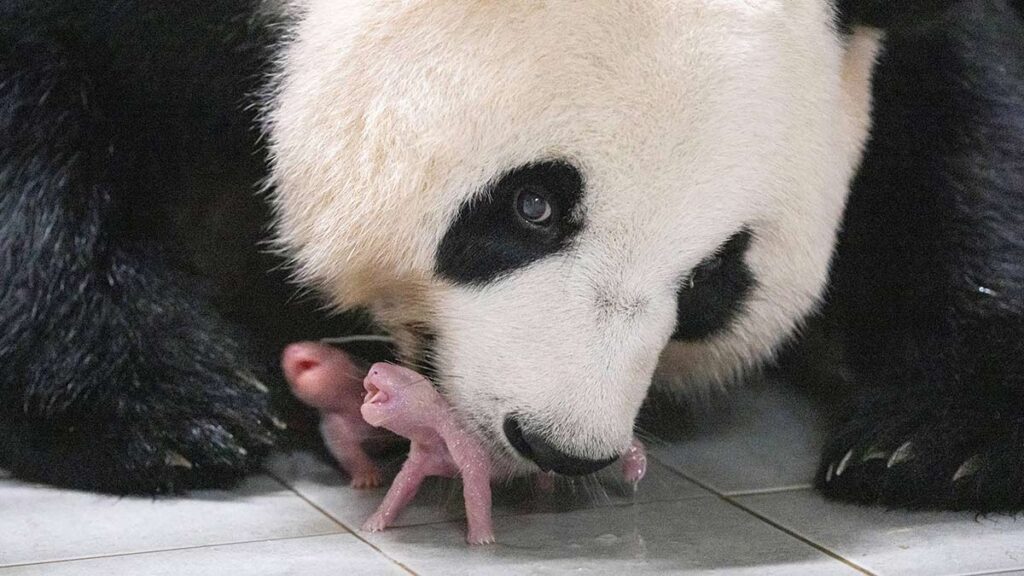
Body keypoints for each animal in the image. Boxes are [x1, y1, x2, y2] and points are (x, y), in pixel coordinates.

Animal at [2, 0, 1022, 513]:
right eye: (534, 206)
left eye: (713, 281)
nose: (560, 446)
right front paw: (163, 407)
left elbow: (966, 115)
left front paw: (939, 441)